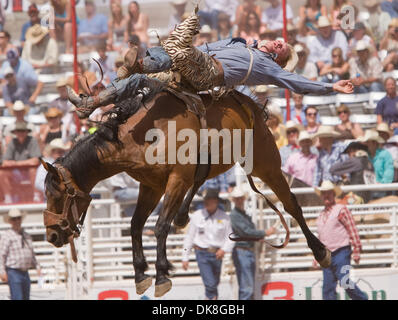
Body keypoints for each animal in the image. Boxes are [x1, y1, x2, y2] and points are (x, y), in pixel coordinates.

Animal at [42, 90, 332, 298]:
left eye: (58, 195)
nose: (52, 235)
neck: (142, 137)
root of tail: (249, 103)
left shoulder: (176, 180)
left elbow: (160, 226)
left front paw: (161, 275)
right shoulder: (152, 186)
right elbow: (136, 225)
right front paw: (140, 275)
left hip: (265, 162)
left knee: (291, 204)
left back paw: (321, 251)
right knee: (200, 178)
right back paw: (183, 216)